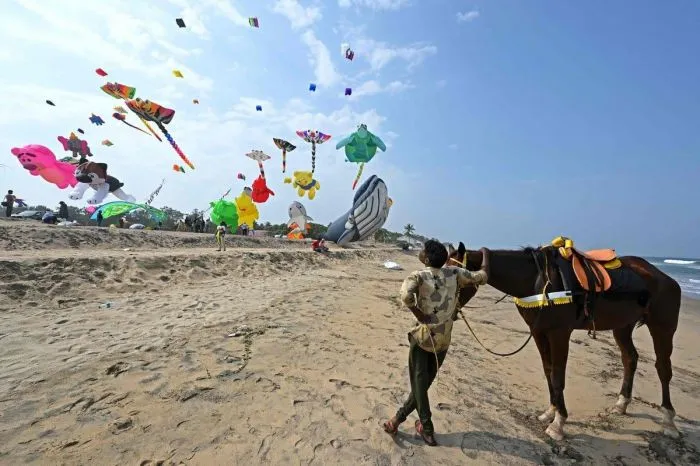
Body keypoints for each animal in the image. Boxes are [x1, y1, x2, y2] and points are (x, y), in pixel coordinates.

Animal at [447, 242, 681, 441]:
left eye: (456, 277)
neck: (538, 280)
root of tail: (666, 278)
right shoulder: (539, 332)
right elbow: (548, 371)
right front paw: (550, 412)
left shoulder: (559, 333)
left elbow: (558, 377)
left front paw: (558, 424)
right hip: (622, 326)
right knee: (630, 359)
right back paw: (622, 403)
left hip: (663, 327)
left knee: (663, 368)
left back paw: (669, 421)